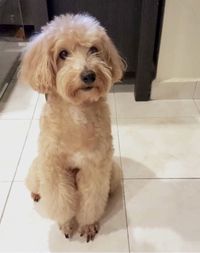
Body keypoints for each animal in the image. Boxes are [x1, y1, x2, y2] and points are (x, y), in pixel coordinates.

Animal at [18, 12, 125, 242]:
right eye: (63, 53)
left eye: (94, 49)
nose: (89, 75)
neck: (77, 110)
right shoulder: (54, 167)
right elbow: (60, 201)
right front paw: (66, 224)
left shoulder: (95, 166)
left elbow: (91, 200)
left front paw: (88, 225)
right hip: (37, 170)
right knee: (36, 185)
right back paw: (37, 193)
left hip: (113, 172)